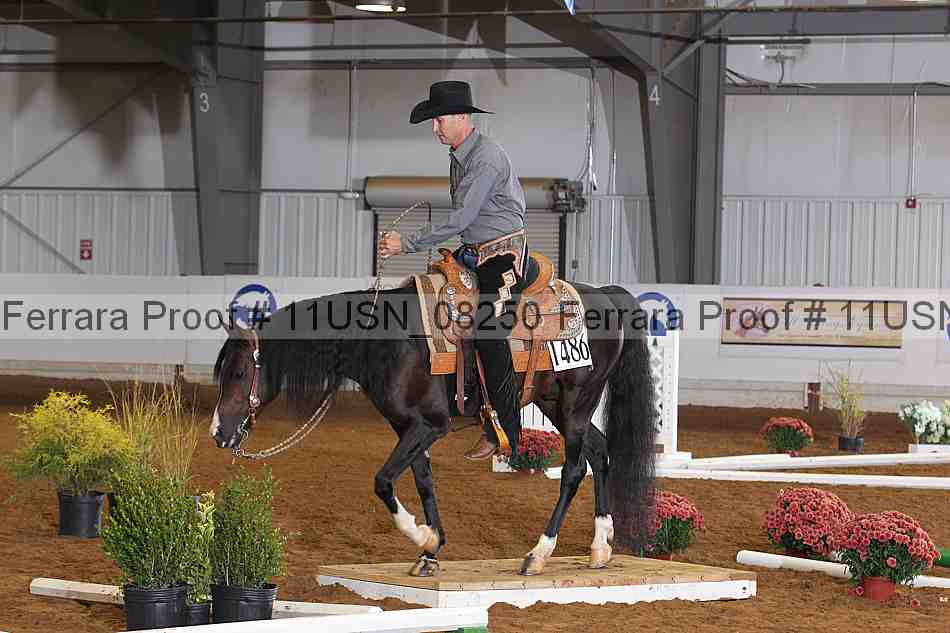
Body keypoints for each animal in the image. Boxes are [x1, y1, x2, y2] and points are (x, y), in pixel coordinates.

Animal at [209, 278, 657, 577]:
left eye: (239, 372)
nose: (218, 433)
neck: (386, 341)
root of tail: (608, 295)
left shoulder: (430, 425)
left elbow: (383, 480)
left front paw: (424, 538)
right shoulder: (406, 426)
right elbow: (423, 480)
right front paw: (430, 551)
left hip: (576, 401)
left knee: (574, 469)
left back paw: (538, 554)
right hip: (556, 405)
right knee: (600, 452)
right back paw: (600, 548)